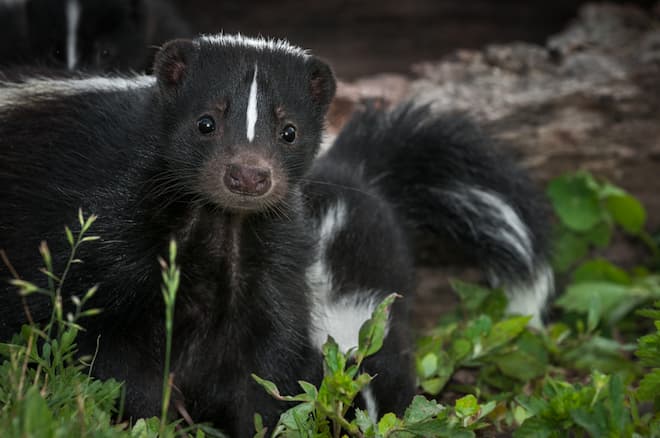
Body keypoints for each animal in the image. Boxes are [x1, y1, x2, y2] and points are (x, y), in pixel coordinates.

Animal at [0, 35, 552, 434]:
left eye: (289, 132)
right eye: (205, 123)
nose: (248, 175)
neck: (219, 226)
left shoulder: (268, 261)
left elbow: (262, 365)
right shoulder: (106, 223)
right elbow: (104, 340)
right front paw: (154, 417)